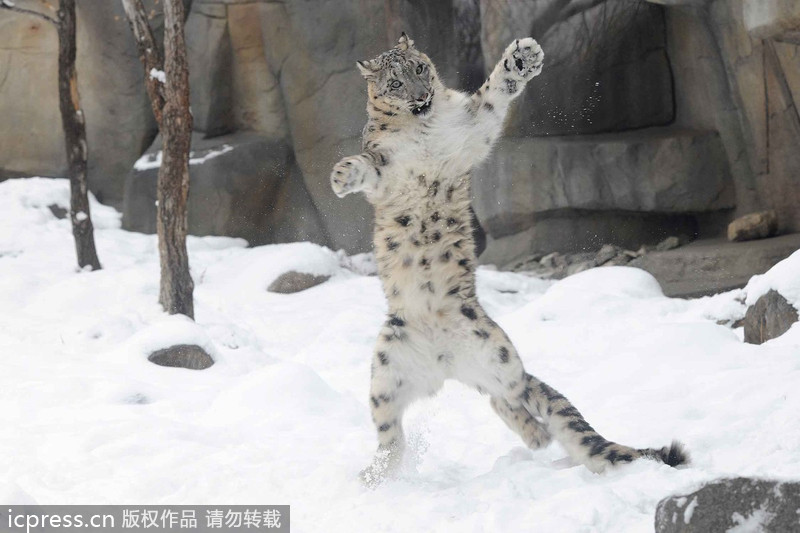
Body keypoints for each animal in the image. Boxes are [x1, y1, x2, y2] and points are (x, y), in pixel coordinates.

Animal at [332, 31, 688, 484]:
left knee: (511, 395)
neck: (423, 125)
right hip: (384, 371)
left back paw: (535, 434)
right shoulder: (386, 169)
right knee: (391, 430)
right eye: (394, 83)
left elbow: (492, 95)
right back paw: (376, 475)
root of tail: (443, 362)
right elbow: (367, 163)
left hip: (499, 355)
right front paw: (341, 175)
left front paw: (522, 59)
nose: (421, 96)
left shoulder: (471, 129)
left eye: (419, 68)